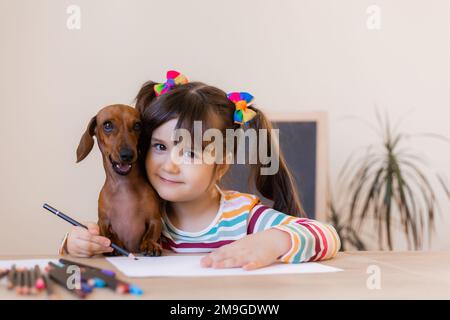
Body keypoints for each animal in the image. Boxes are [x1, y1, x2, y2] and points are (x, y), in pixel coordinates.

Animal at [75, 104, 162, 256]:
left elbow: (151, 233)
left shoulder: (155, 219)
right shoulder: (103, 221)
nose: (127, 154)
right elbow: (108, 233)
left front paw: (150, 244)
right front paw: (115, 245)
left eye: (137, 125)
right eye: (107, 125)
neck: (124, 187)